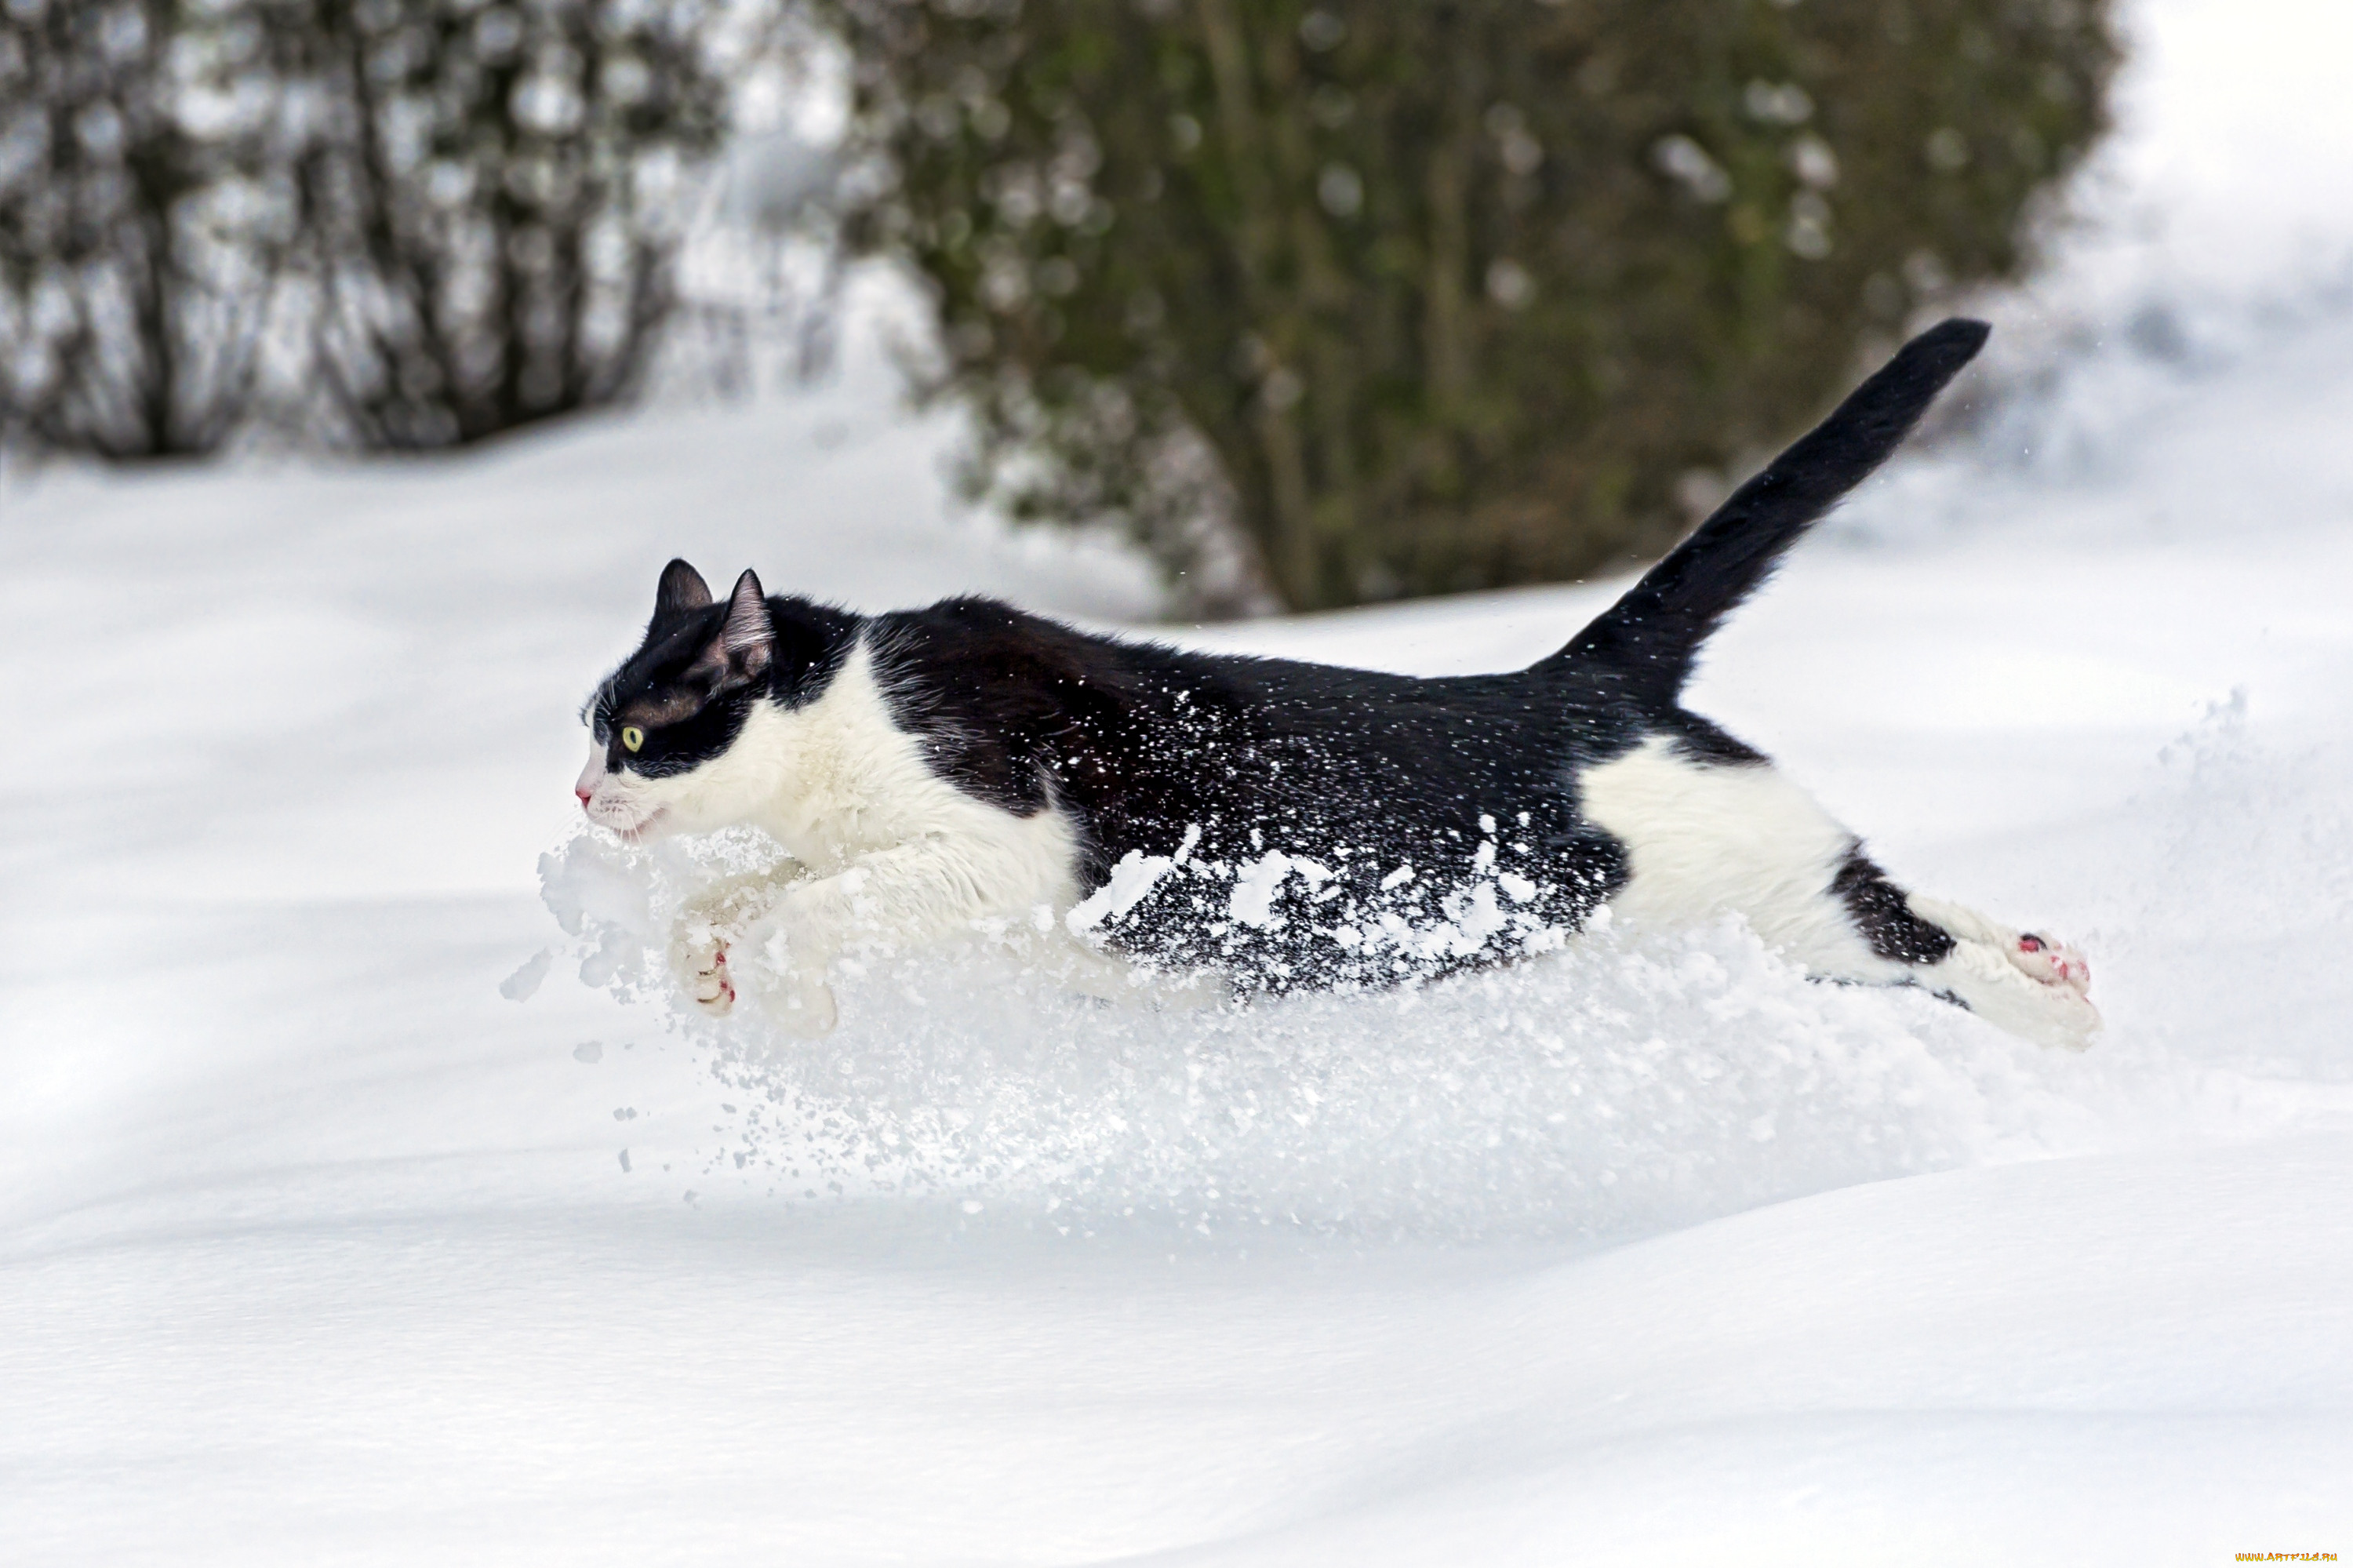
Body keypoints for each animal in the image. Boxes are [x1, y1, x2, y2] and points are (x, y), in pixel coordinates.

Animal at [579, 318, 2108, 1045]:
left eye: (642, 733)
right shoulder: (849, 850)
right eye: (589, 728)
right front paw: (708, 971)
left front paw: (786, 1004)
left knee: (1911, 933)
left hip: (1763, 894)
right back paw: (2055, 954)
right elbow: (740, 892)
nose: (587, 791)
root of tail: (1572, 677)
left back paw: (2062, 1013)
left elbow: (804, 912)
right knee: (1909, 888)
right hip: (1766, 895)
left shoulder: (987, 846)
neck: (845, 714)